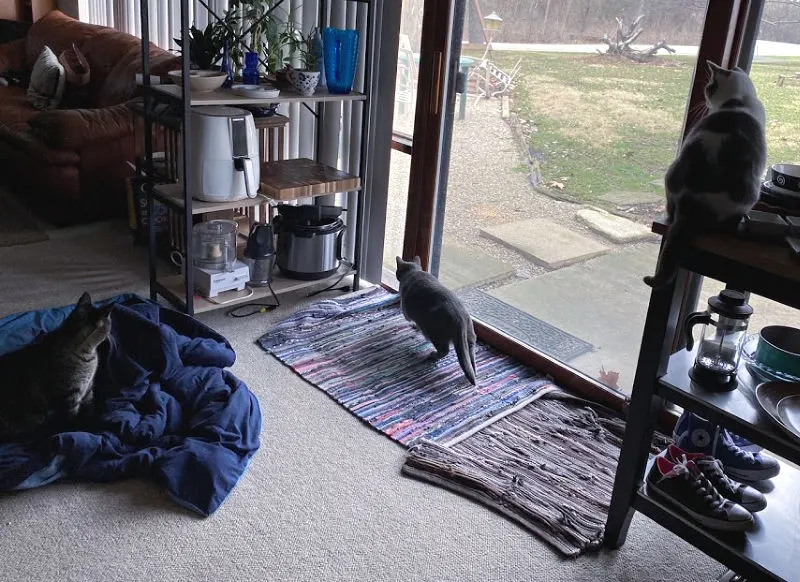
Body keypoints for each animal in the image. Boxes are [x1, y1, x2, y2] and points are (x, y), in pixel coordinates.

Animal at [0, 294, 112, 440]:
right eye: (109, 324)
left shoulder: (87, 389)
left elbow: (90, 410)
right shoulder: (70, 396)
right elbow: (72, 418)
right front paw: (80, 429)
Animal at [394, 256, 476, 386]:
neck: (414, 272)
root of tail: (460, 319)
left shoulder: (406, 310)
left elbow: (410, 319)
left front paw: (414, 325)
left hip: (435, 334)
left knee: (444, 350)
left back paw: (433, 355)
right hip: (470, 337)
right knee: (471, 354)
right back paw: (474, 369)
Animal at [640, 60, 764, 288]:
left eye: (708, 87)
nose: (705, 96)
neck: (737, 102)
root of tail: (693, 199)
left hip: (671, 176)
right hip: (749, 194)